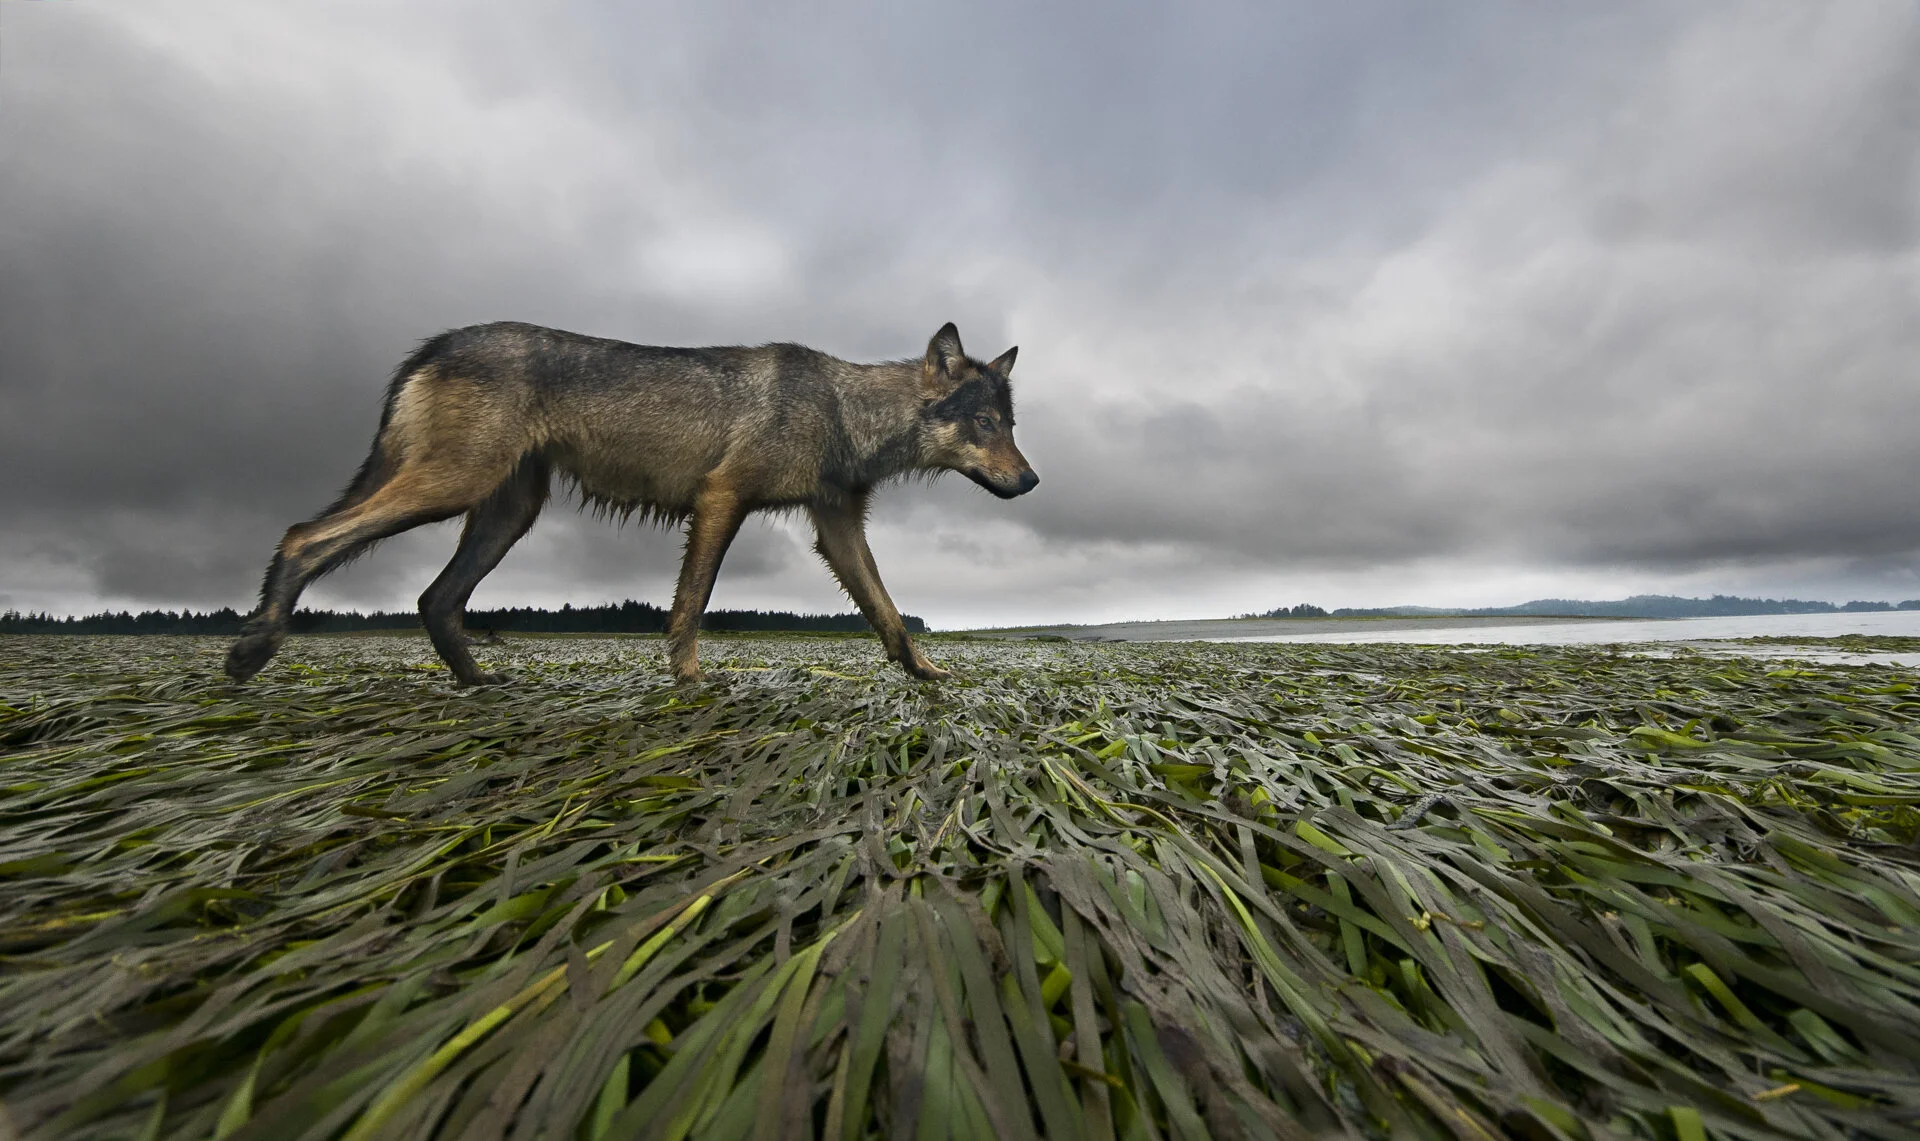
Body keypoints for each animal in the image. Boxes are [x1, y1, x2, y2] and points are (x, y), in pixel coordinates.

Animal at [223, 321, 1037, 686]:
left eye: (1011, 424)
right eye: (984, 424)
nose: (1031, 482)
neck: (842, 410)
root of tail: (436, 342)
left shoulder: (837, 530)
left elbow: (888, 612)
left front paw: (928, 674)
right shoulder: (721, 498)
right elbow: (692, 602)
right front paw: (690, 680)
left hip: (506, 514)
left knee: (433, 597)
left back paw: (481, 682)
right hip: (451, 489)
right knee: (302, 536)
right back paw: (253, 648)